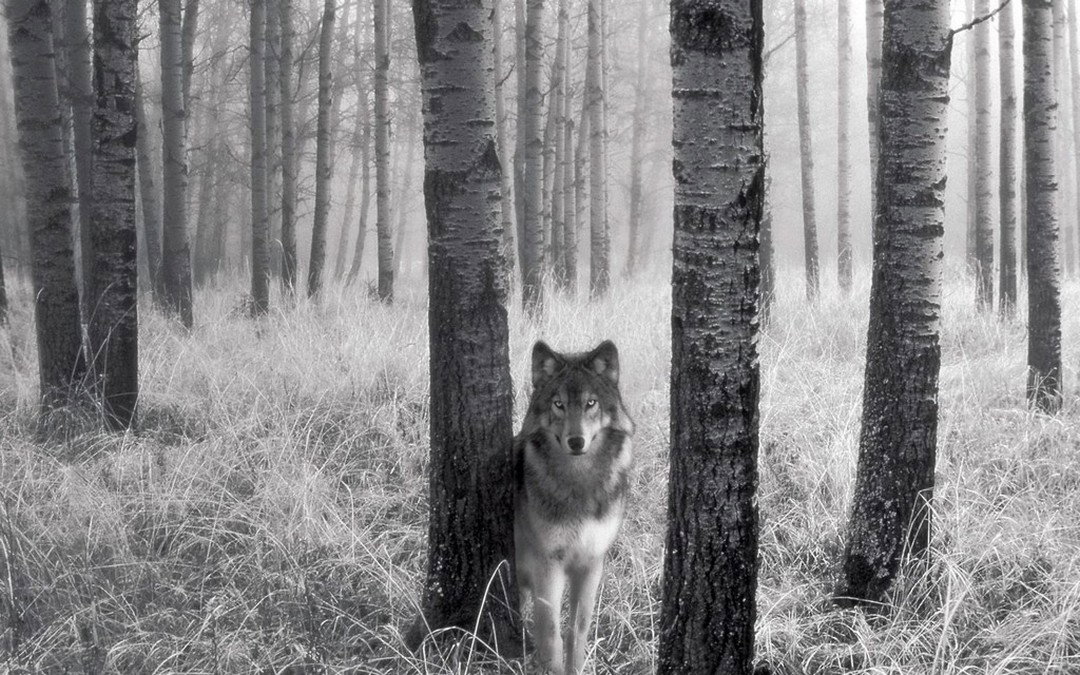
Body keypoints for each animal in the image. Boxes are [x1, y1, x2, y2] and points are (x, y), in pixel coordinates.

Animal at [514, 340, 634, 675]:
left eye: (591, 403)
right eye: (558, 404)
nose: (576, 441)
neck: (579, 483)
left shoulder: (592, 562)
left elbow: (577, 629)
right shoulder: (547, 564)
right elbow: (551, 633)